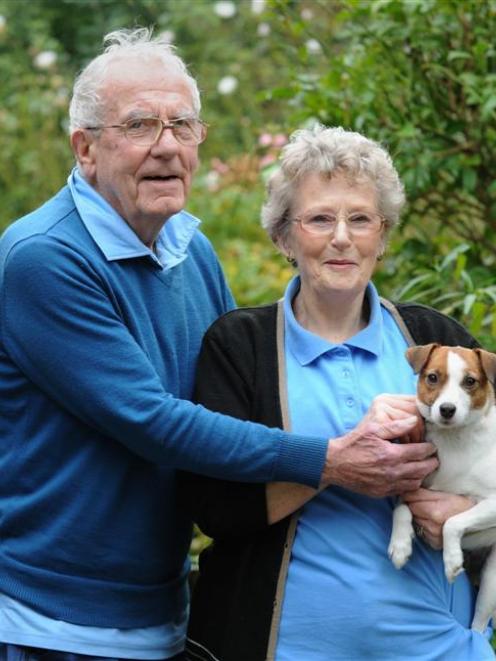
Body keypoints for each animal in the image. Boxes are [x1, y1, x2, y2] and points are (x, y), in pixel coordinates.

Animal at [390, 342, 496, 632]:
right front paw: (400, 544)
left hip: (492, 584)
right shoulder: (414, 485)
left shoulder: (492, 504)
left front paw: (451, 559)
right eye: (432, 378)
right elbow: (401, 508)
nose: (447, 409)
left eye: (470, 381)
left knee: (479, 626)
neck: (455, 439)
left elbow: (452, 522)